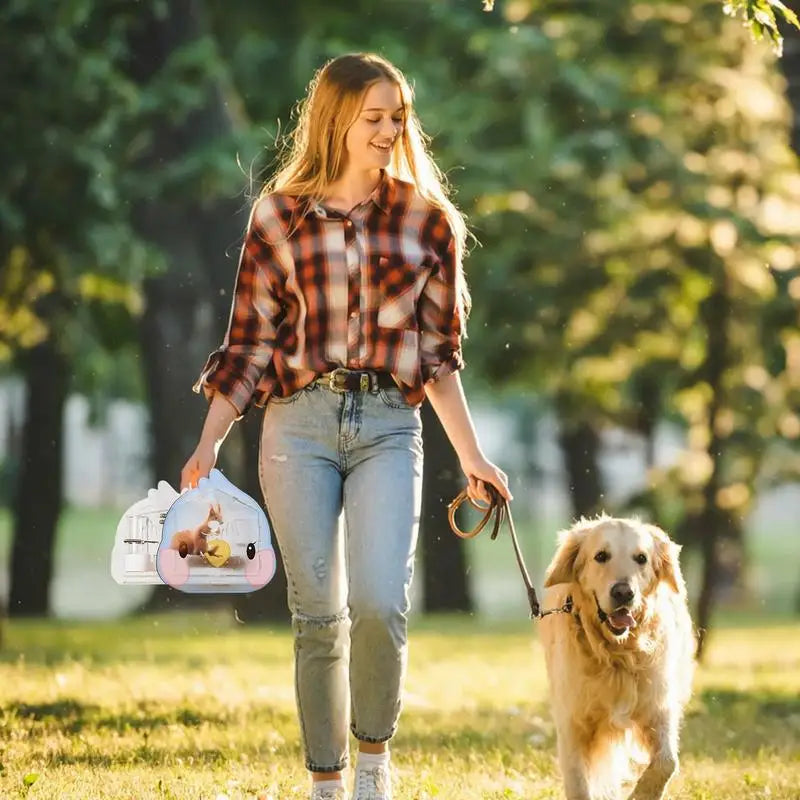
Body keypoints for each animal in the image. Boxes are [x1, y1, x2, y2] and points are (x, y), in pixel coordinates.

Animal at [536, 520, 692, 800]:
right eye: (601, 556)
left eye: (641, 558)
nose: (623, 593)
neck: (617, 655)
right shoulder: (572, 724)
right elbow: (578, 785)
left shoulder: (658, 707)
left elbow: (667, 762)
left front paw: (642, 794)